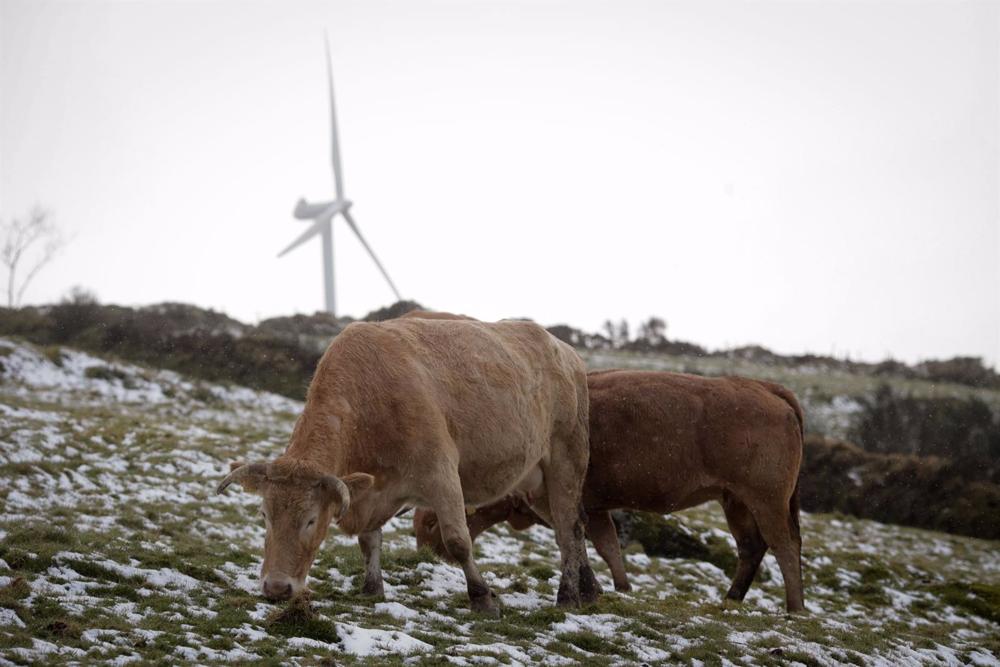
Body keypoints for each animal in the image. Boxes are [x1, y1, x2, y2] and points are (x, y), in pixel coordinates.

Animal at [216, 317, 599, 615]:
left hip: (566, 460)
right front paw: (372, 588)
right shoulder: (370, 490)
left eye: (311, 520)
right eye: (264, 515)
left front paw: (482, 597)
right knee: (574, 526)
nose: (276, 587)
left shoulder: (442, 474)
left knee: (567, 527)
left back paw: (567, 596)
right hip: (534, 482)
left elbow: (457, 540)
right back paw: (589, 589)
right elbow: (369, 539)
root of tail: (563, 350)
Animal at [415, 369, 806, 612]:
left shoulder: (562, 502)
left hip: (766, 501)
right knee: (752, 548)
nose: (428, 555)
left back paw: (795, 608)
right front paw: (615, 588)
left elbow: (577, 540)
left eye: (431, 524)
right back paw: (732, 599)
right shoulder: (593, 508)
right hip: (736, 501)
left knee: (784, 546)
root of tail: (763, 387)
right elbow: (604, 545)